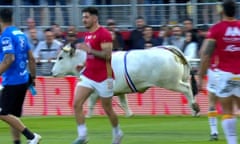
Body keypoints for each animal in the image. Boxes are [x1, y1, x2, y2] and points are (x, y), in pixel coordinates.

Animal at [51, 44, 200, 116]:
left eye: (60, 57)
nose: (52, 72)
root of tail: (169, 49)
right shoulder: (120, 91)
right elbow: (124, 104)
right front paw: (130, 115)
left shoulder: (94, 91)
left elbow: (91, 103)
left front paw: (87, 116)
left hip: (170, 82)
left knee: (187, 89)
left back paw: (195, 109)